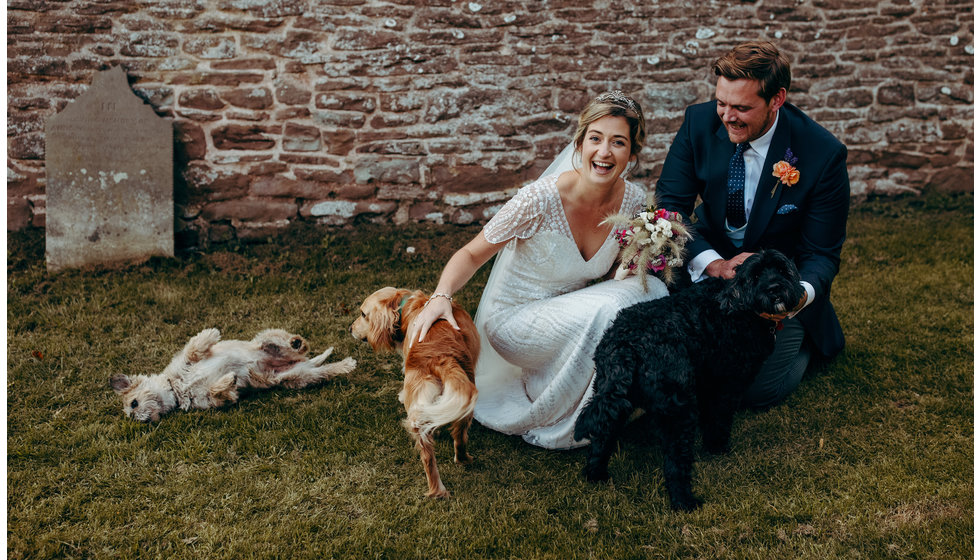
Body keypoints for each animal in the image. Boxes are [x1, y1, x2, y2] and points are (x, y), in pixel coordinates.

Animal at [111, 328, 356, 420]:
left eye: (133, 404)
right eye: (130, 414)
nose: (138, 419)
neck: (178, 389)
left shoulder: (186, 361)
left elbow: (194, 348)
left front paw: (211, 334)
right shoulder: (210, 399)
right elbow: (220, 392)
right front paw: (229, 380)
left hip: (269, 342)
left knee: (291, 344)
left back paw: (297, 343)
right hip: (297, 376)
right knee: (323, 370)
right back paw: (346, 365)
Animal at [576, 249, 804, 512]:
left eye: (782, 270)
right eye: (756, 275)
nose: (775, 288)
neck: (736, 304)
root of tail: (626, 345)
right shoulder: (728, 384)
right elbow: (720, 418)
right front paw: (717, 447)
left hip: (613, 395)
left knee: (602, 437)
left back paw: (596, 475)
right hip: (678, 410)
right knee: (676, 461)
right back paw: (684, 501)